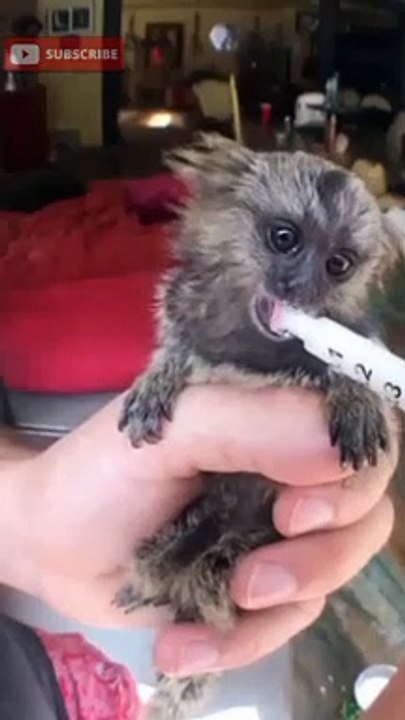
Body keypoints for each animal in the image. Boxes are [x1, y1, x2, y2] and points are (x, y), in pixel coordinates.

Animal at [116, 134, 398, 720]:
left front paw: (356, 393)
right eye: (284, 239)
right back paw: (155, 578)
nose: (299, 286)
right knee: (167, 551)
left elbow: (358, 376)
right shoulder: (182, 317)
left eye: (337, 264)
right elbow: (180, 353)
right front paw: (158, 379)